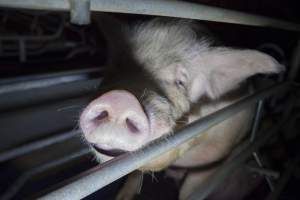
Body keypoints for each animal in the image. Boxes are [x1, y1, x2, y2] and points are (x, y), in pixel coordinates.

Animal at [78, 14, 282, 200]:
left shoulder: (217, 154)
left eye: (181, 82)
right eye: (117, 65)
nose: (120, 98)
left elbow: (189, 189)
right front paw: (122, 196)